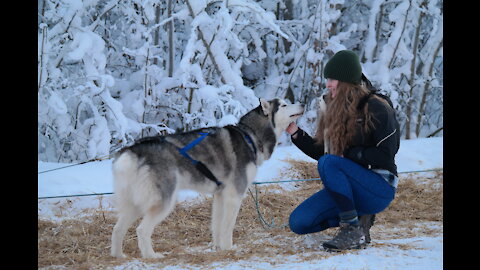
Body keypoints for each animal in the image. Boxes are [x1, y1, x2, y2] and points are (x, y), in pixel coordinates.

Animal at [110, 98, 304, 258]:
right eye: (284, 105)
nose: (302, 104)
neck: (250, 135)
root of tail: (133, 151)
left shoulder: (220, 195)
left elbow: (217, 225)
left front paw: (218, 248)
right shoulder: (234, 195)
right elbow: (228, 226)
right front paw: (229, 248)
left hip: (134, 203)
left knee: (117, 229)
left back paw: (118, 256)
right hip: (163, 202)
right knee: (142, 230)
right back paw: (151, 256)